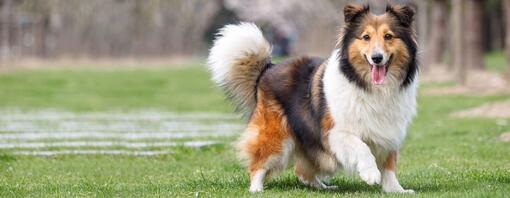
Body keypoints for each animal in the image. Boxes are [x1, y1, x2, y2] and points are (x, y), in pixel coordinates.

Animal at [207, 3, 418, 193]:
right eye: (366, 37)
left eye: (388, 36)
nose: (377, 58)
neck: (367, 86)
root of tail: (268, 68)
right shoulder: (335, 132)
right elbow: (362, 147)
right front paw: (371, 173)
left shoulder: (389, 131)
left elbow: (389, 166)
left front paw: (396, 190)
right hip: (277, 137)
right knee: (259, 163)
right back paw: (256, 189)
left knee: (303, 171)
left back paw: (323, 186)